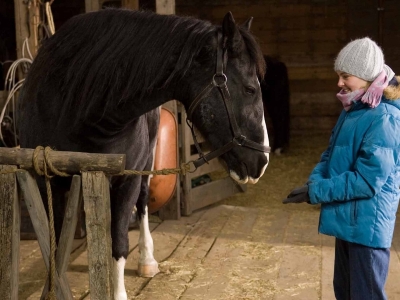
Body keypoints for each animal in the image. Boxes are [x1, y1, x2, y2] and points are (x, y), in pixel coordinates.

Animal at [17, 8, 270, 298]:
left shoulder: (128, 178)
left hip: (146, 165)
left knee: (143, 204)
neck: (81, 110)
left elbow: (119, 242)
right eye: (250, 89)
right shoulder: (45, 180)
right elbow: (55, 247)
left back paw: (147, 260)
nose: (262, 161)